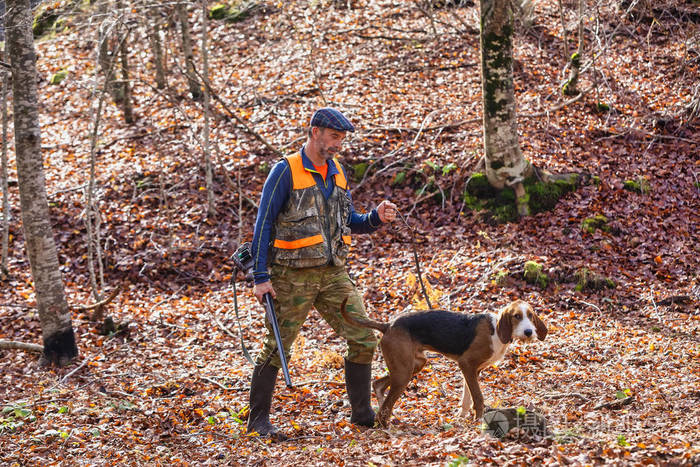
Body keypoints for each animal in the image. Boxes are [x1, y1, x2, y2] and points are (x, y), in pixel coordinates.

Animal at [340, 300, 548, 428]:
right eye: (516, 316)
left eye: (530, 315)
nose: (529, 332)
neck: (495, 330)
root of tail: (388, 325)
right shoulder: (467, 364)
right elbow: (478, 397)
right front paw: (479, 421)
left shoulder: (473, 371)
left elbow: (467, 397)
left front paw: (462, 417)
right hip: (404, 372)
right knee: (384, 406)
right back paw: (386, 428)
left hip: (413, 365)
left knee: (378, 384)